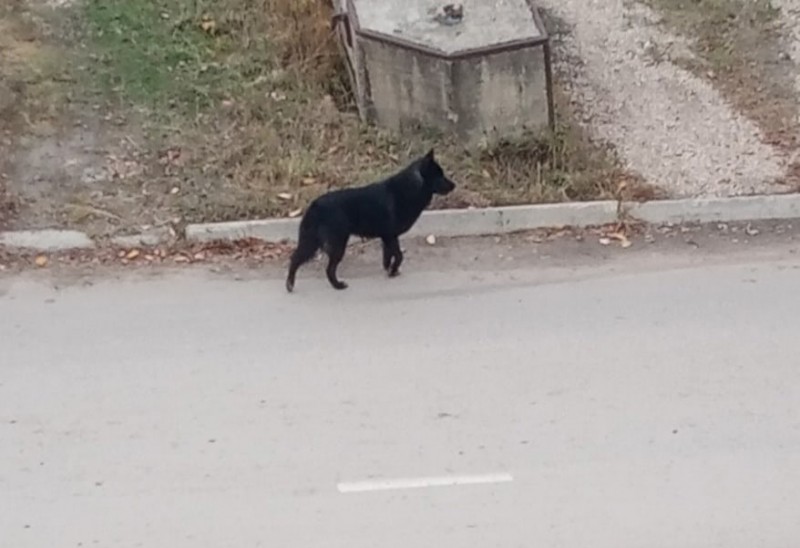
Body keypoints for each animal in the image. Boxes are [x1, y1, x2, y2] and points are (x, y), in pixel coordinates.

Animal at [286, 148, 456, 288]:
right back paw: (337, 285)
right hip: (337, 245)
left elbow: (388, 255)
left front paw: (389, 269)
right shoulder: (390, 236)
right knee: (329, 269)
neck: (411, 187)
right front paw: (393, 270)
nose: (454, 185)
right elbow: (399, 255)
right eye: (439, 176)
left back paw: (290, 284)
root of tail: (315, 205)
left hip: (312, 243)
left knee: (295, 258)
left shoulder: (388, 237)